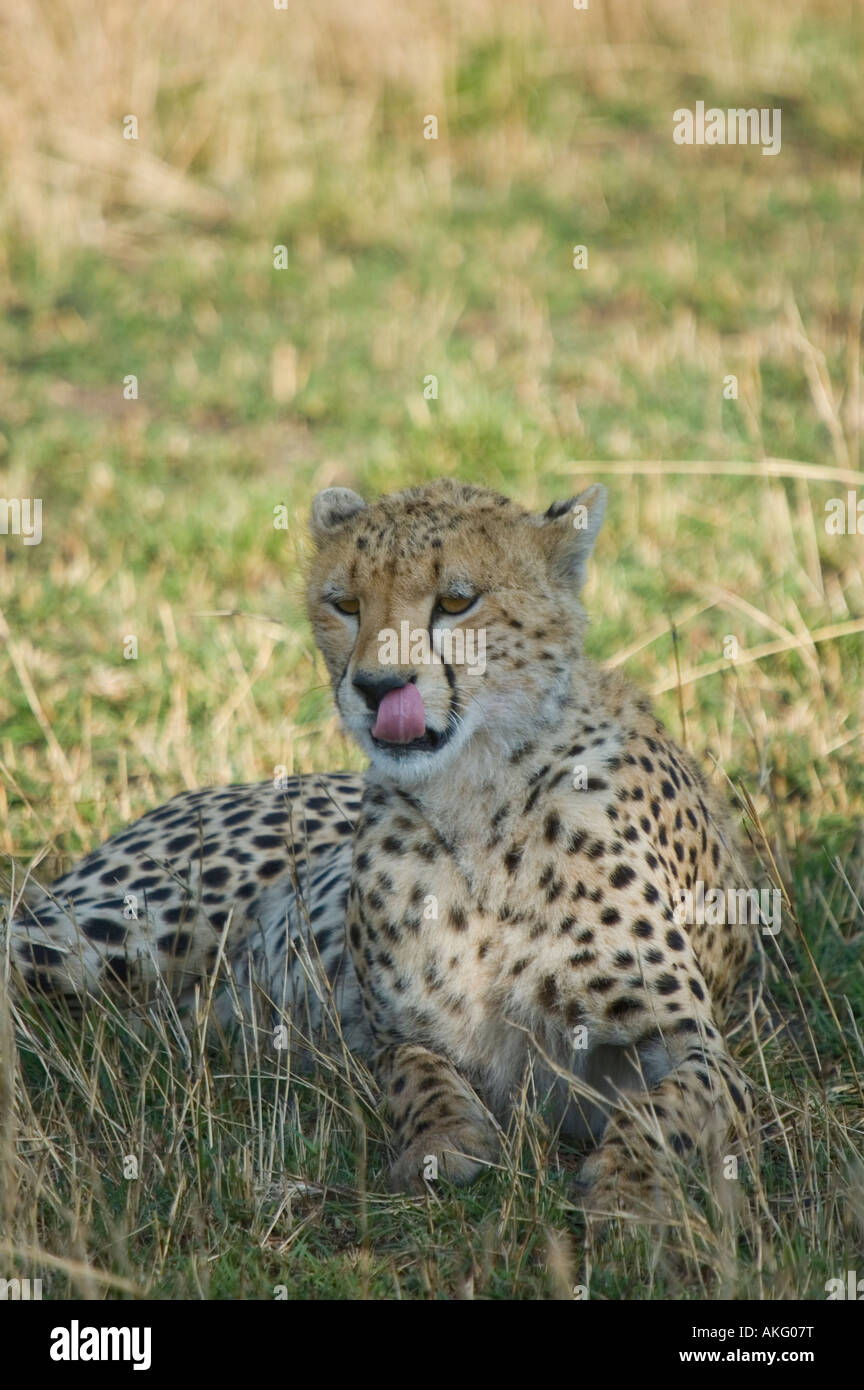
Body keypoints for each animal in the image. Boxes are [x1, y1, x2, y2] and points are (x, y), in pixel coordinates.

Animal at [6, 480, 755, 1217]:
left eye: (456, 601)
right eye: (346, 605)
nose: (376, 688)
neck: (477, 795)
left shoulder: (692, 1042)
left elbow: (667, 1107)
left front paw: (627, 1185)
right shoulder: (396, 1034)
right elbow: (415, 1073)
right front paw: (441, 1140)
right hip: (107, 939)